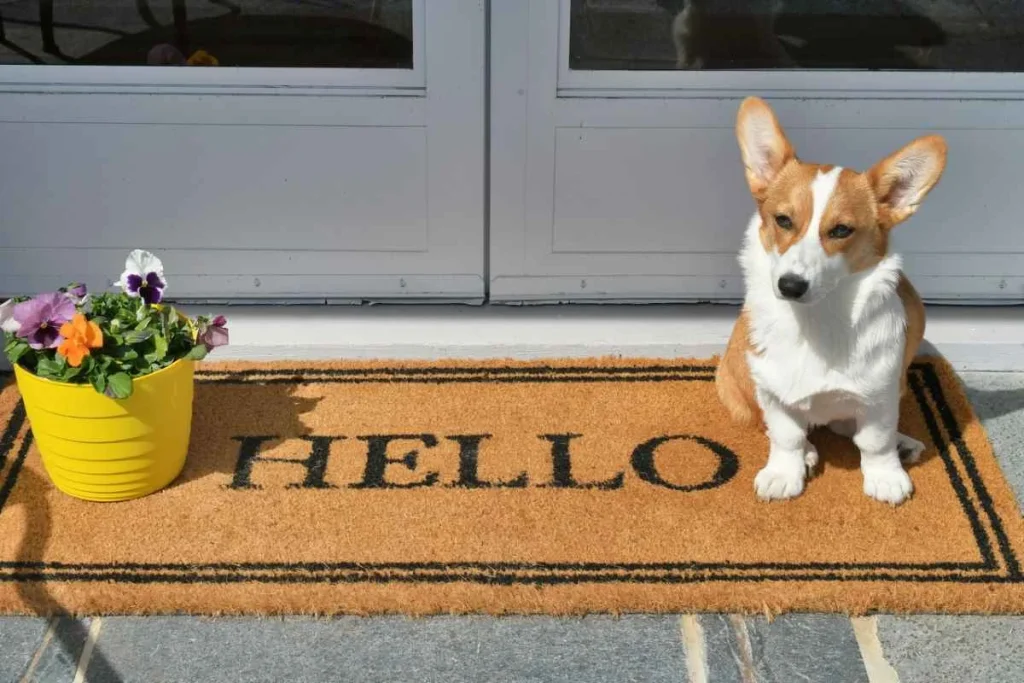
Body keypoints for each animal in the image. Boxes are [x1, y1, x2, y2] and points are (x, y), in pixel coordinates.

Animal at [716, 96, 946, 505]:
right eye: (783, 220)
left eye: (841, 230)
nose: (790, 285)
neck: (816, 319)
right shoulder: (771, 389)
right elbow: (786, 435)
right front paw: (784, 473)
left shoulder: (882, 392)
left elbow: (875, 441)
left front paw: (886, 477)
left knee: (849, 427)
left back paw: (901, 442)